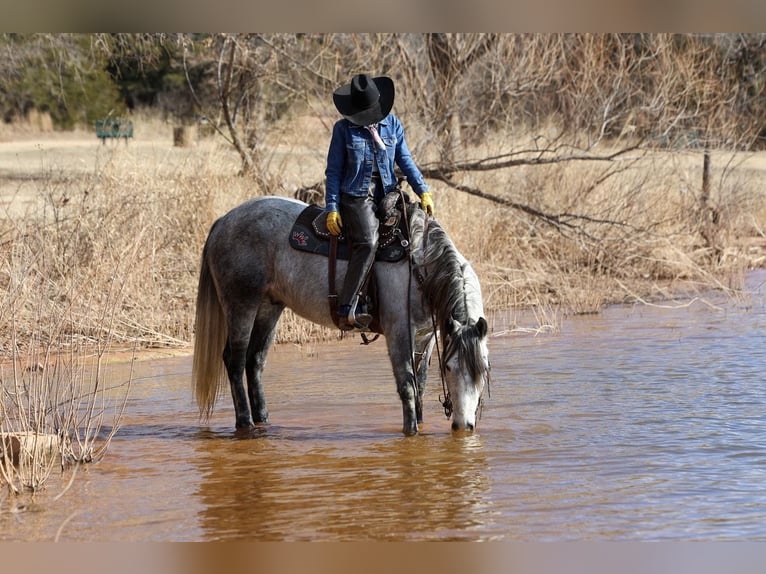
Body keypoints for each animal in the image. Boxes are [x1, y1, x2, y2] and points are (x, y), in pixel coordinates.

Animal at [191, 195, 490, 435]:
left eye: (483, 369)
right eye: (449, 368)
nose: (464, 426)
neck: (421, 264)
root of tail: (224, 220)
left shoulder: (425, 336)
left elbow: (421, 385)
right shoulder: (398, 332)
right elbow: (407, 385)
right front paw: (411, 432)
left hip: (269, 307)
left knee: (254, 361)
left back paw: (263, 419)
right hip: (241, 304)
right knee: (235, 360)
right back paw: (245, 423)